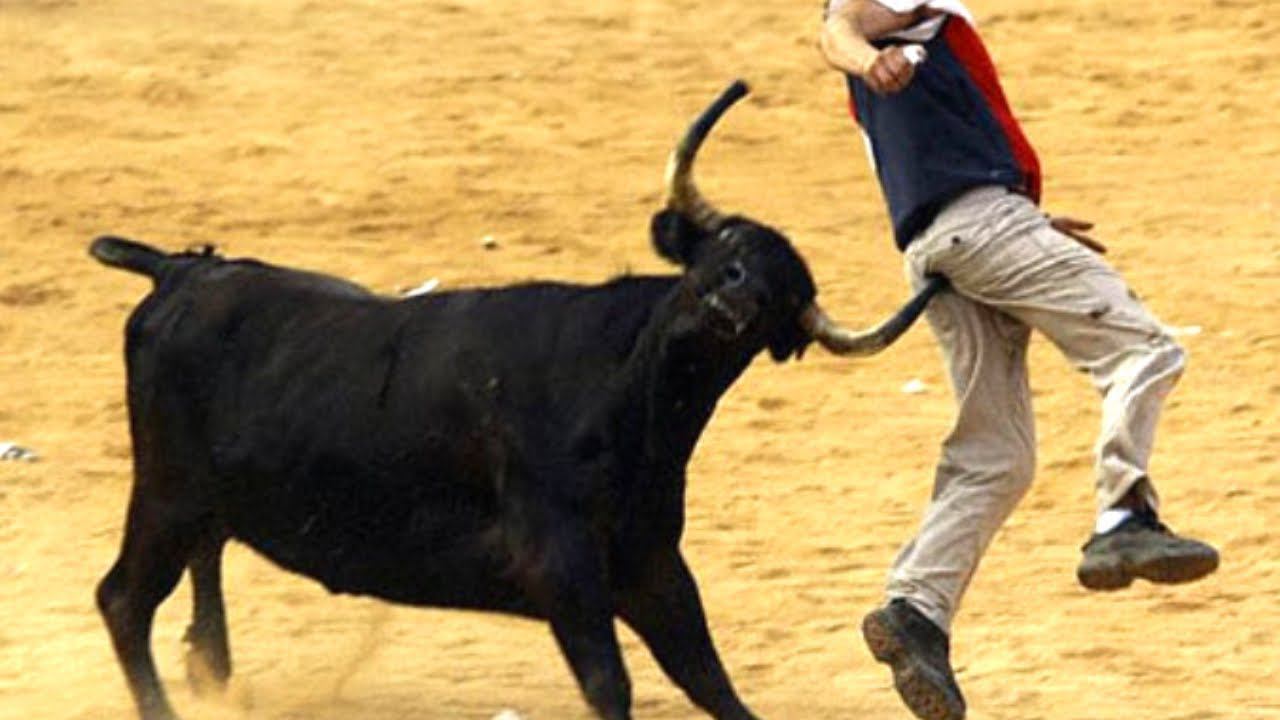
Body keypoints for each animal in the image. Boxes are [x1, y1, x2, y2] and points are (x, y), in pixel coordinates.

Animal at [92, 81, 946, 720]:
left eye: (783, 298)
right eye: (727, 250)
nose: (733, 300)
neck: (634, 401)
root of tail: (183, 269)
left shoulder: (649, 565)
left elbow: (712, 681)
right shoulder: (560, 563)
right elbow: (613, 684)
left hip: (193, 497)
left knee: (193, 559)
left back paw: (211, 667)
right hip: (167, 491)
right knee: (123, 599)